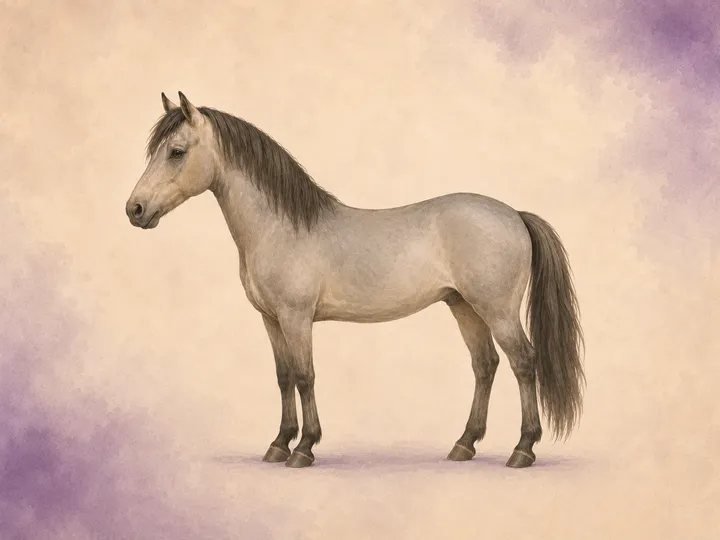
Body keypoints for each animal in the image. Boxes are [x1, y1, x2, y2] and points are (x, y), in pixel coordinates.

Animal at [125, 92, 585, 469]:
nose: (135, 209)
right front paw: (278, 445)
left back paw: (522, 450)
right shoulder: (271, 320)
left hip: (497, 310)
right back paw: (464, 445)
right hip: (464, 307)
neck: (281, 227)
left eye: (177, 151)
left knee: (523, 362)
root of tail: (514, 215)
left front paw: (304, 449)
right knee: (485, 365)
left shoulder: (296, 318)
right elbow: (283, 377)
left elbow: (305, 376)